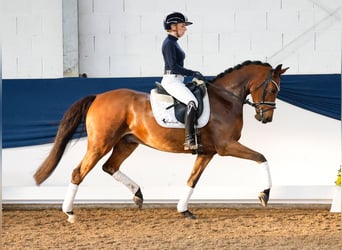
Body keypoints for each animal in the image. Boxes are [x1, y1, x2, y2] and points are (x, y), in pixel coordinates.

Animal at [33, 61, 288, 223]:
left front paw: (183, 210)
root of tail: (98, 97)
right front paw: (265, 194)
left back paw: (138, 195)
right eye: (272, 88)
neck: (225, 99)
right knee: (79, 172)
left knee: (110, 166)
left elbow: (192, 180)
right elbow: (261, 157)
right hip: (100, 144)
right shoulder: (226, 146)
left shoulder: (207, 152)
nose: (266, 118)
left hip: (127, 143)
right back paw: (70, 213)